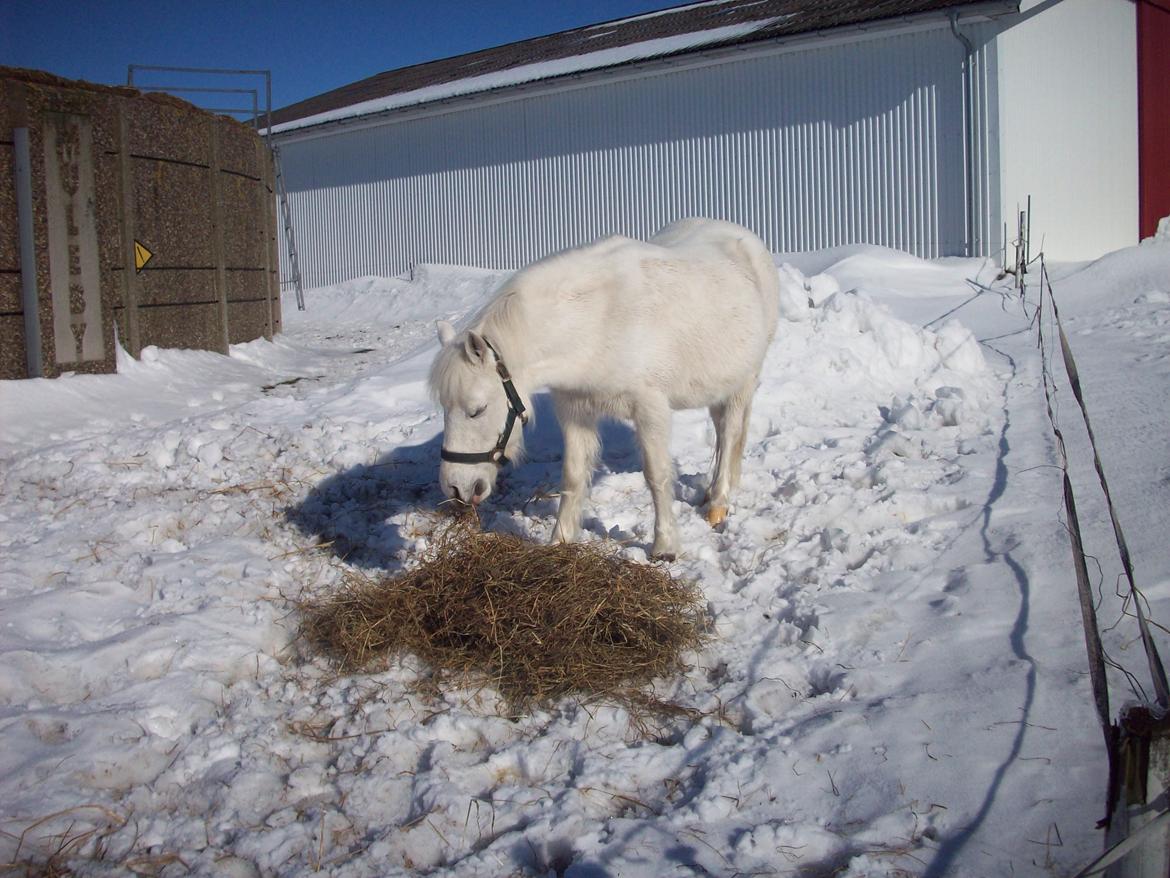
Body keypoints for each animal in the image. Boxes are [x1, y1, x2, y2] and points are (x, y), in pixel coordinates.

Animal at [430, 221, 776, 564]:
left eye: (477, 410)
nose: (455, 487)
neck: (597, 322)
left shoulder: (650, 408)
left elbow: (657, 475)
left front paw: (665, 546)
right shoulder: (574, 409)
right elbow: (573, 474)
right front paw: (560, 541)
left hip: (744, 382)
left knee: (730, 435)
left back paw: (718, 503)